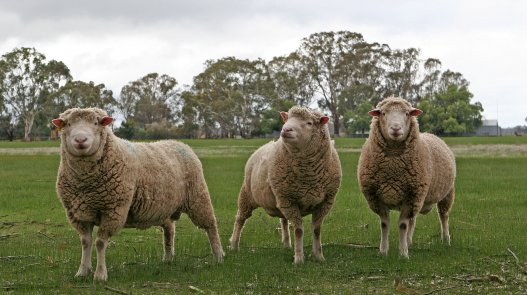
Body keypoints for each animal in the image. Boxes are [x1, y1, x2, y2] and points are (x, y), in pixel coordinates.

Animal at [49, 107, 223, 280]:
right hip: (165, 207)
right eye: (68, 124)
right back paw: (168, 258)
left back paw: (219, 256)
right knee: (169, 230)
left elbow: (100, 243)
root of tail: (180, 143)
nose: (80, 140)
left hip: (198, 197)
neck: (86, 184)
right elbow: (86, 242)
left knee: (211, 226)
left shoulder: (113, 210)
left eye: (96, 123)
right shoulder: (78, 214)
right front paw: (82, 272)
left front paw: (100, 275)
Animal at [230, 106, 342, 264]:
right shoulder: (290, 200)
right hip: (248, 194)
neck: (309, 176)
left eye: (309, 123)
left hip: (280, 198)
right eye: (287, 119)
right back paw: (234, 245)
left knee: (283, 220)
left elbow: (316, 230)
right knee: (240, 218)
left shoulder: (324, 202)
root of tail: (264, 146)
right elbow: (299, 230)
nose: (285, 129)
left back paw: (287, 244)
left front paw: (319, 256)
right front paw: (299, 259)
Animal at [358, 97, 458, 260]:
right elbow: (385, 224)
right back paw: (410, 241)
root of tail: (432, 134)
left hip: (446, 193)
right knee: (413, 219)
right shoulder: (378, 198)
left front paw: (403, 254)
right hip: (419, 198)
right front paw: (383, 251)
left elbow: (402, 225)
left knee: (443, 216)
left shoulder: (411, 196)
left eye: (406, 113)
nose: (396, 129)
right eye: (383, 113)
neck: (392, 167)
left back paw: (446, 239)